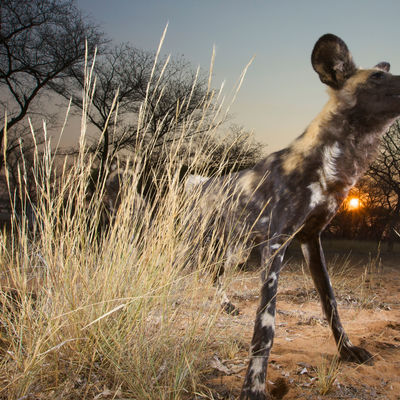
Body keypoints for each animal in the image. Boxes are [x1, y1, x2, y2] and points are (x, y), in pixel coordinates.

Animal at [195, 35, 400, 400]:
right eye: (377, 78)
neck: (333, 164)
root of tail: (206, 182)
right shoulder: (276, 245)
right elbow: (265, 328)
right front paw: (254, 386)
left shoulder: (311, 240)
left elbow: (331, 304)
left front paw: (346, 350)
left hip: (234, 249)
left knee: (215, 275)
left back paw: (225, 305)